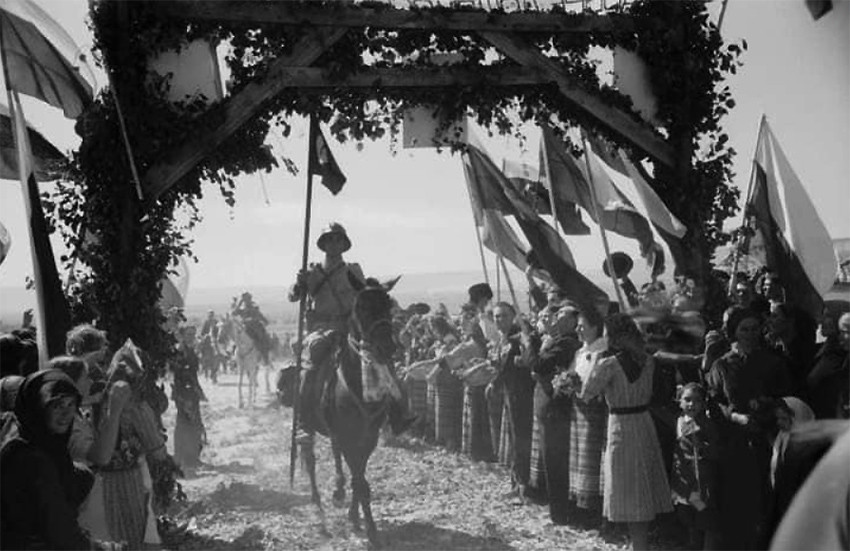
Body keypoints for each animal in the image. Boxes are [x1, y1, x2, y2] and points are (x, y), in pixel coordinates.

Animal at [300, 276, 400, 548]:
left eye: (389, 305)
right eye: (361, 307)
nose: (387, 346)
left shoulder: (368, 438)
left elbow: (360, 477)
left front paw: (355, 517)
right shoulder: (348, 437)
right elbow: (359, 479)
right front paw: (372, 531)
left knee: (335, 457)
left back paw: (338, 490)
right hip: (308, 426)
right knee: (310, 459)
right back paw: (318, 507)